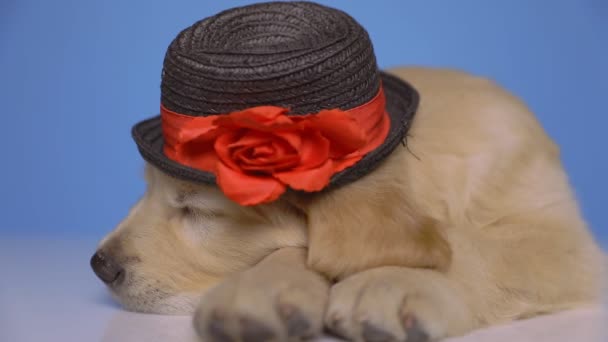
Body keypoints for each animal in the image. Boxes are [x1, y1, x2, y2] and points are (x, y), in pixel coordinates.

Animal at [92, 67, 604, 342]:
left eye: (196, 209)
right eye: (146, 191)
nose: (99, 266)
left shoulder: (565, 241)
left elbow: (478, 249)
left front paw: (392, 280)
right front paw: (260, 286)